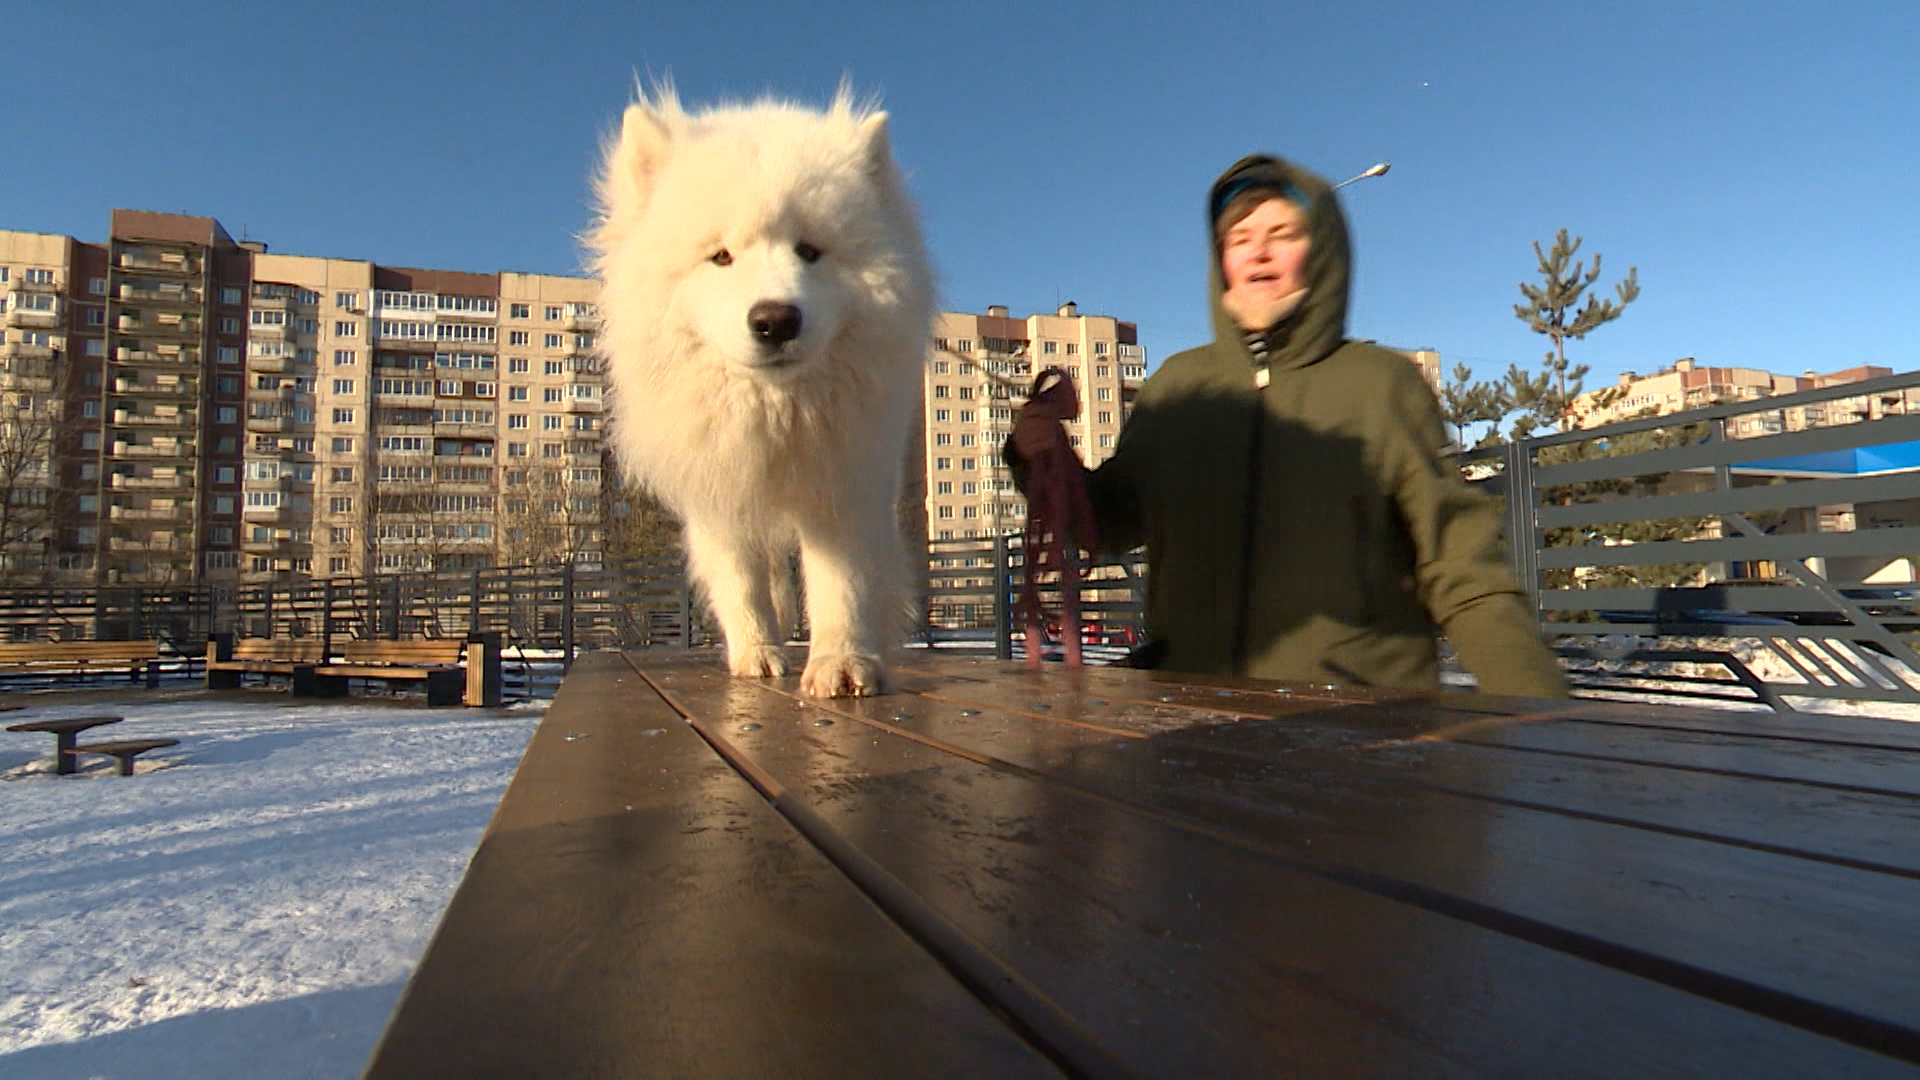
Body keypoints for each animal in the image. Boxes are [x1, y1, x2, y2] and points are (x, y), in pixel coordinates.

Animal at [591, 90, 936, 699]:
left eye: (810, 251)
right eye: (721, 256)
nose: (775, 320)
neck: (775, 413)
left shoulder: (845, 481)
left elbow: (842, 582)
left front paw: (841, 662)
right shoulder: (720, 491)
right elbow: (742, 583)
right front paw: (757, 654)